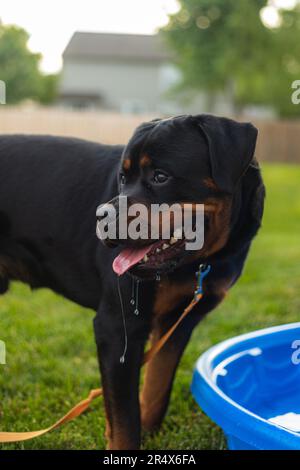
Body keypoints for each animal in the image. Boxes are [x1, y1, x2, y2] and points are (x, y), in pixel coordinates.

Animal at [0, 114, 264, 452]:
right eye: (123, 178)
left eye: (161, 176)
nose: (100, 216)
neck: (201, 261)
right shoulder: (118, 327)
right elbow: (125, 417)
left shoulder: (178, 322)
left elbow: (155, 387)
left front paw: (150, 433)